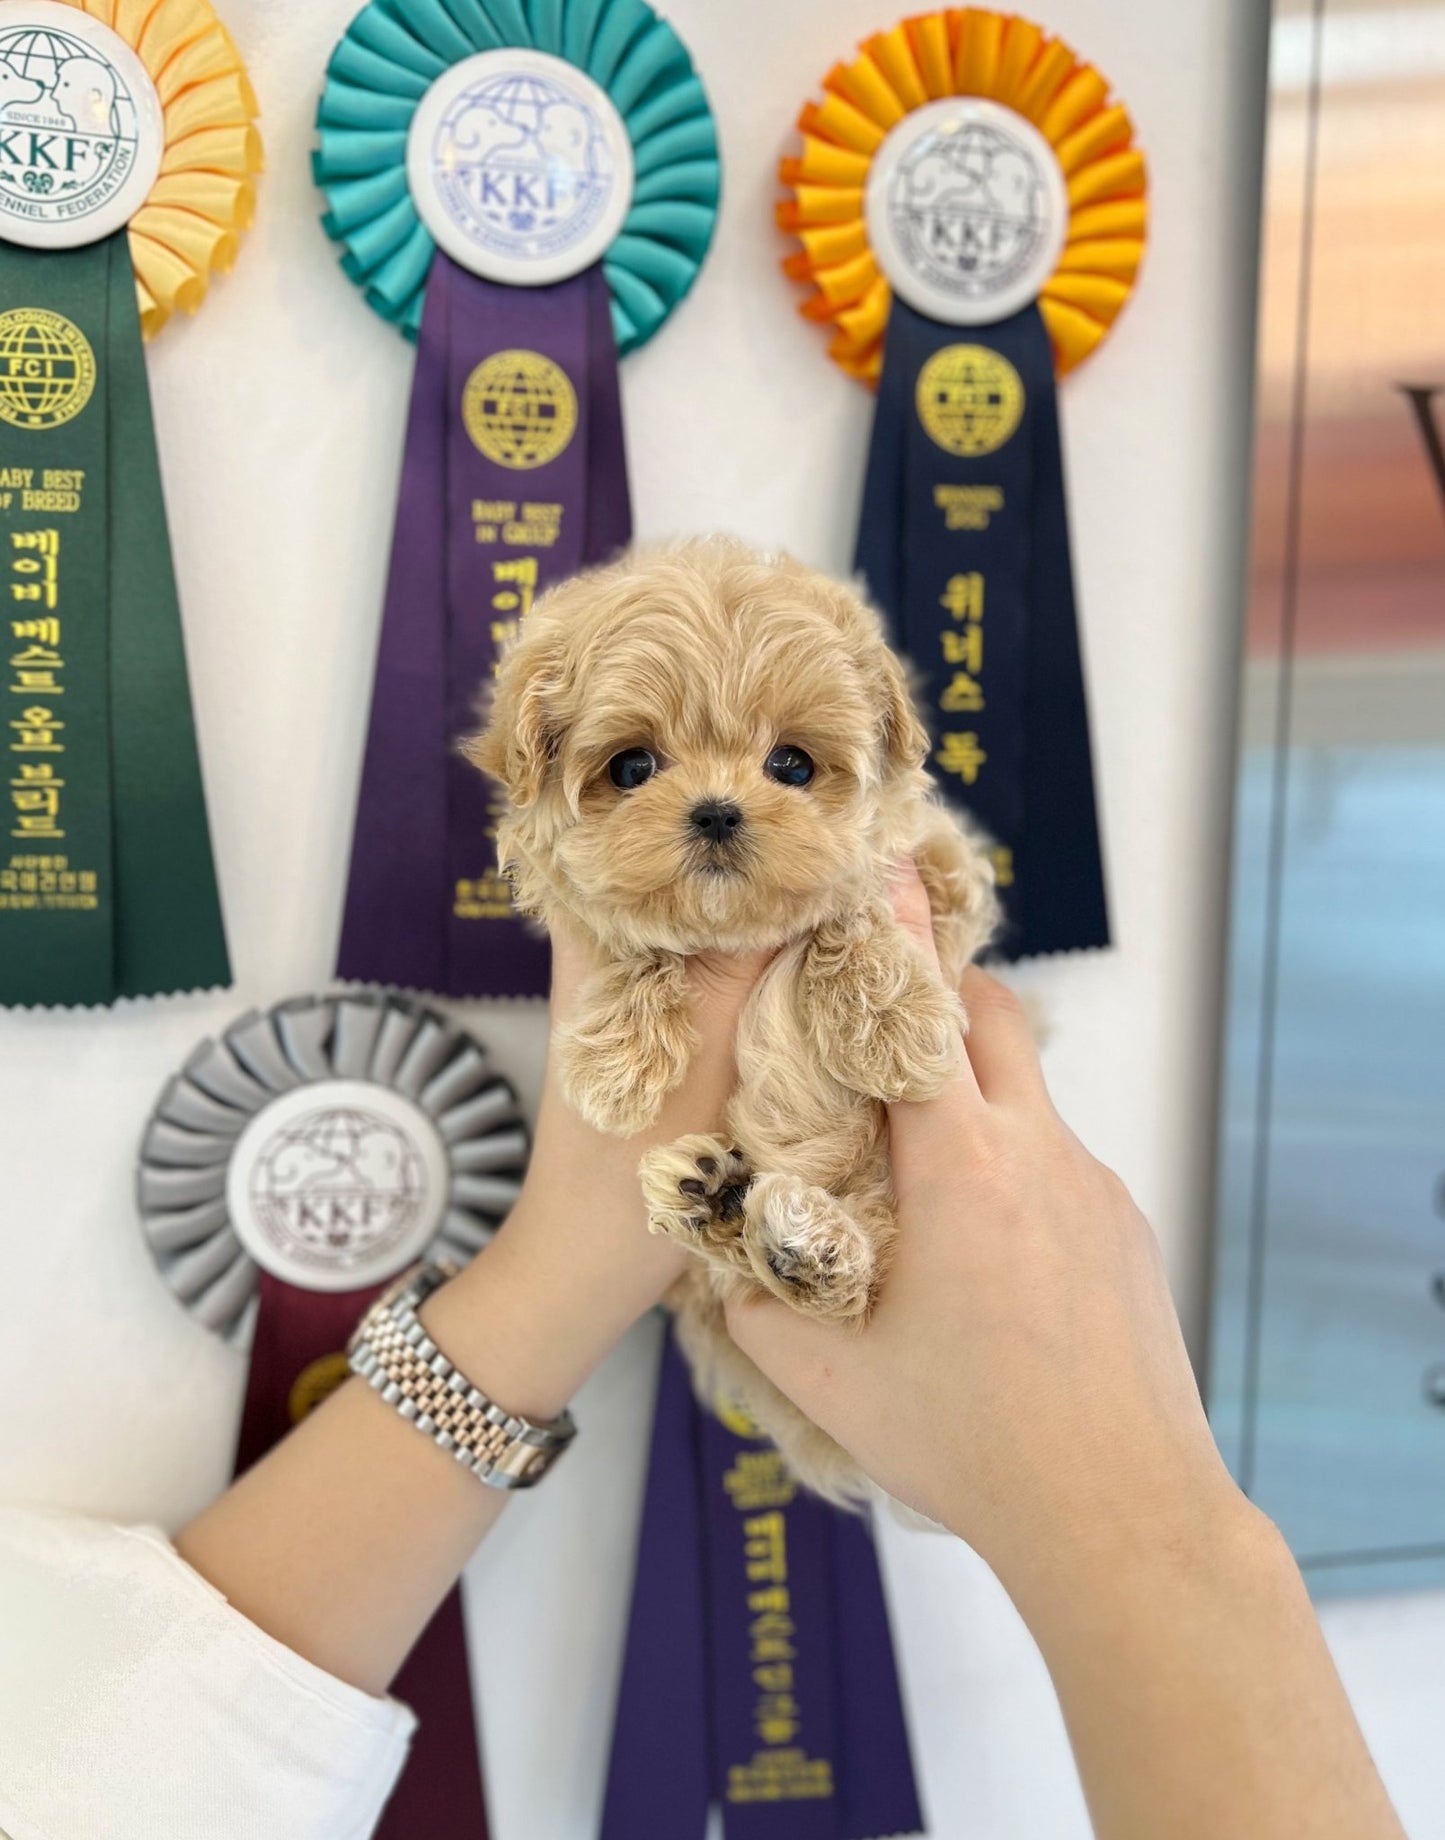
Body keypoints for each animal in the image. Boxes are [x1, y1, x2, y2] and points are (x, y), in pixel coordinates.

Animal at [467, 537, 1001, 1501]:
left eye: (790, 765)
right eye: (632, 767)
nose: (716, 810)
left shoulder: (942, 871)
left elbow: (853, 905)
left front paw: (895, 1026)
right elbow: (631, 939)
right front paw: (615, 1064)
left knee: (855, 1288)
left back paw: (807, 1247)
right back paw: (720, 1204)